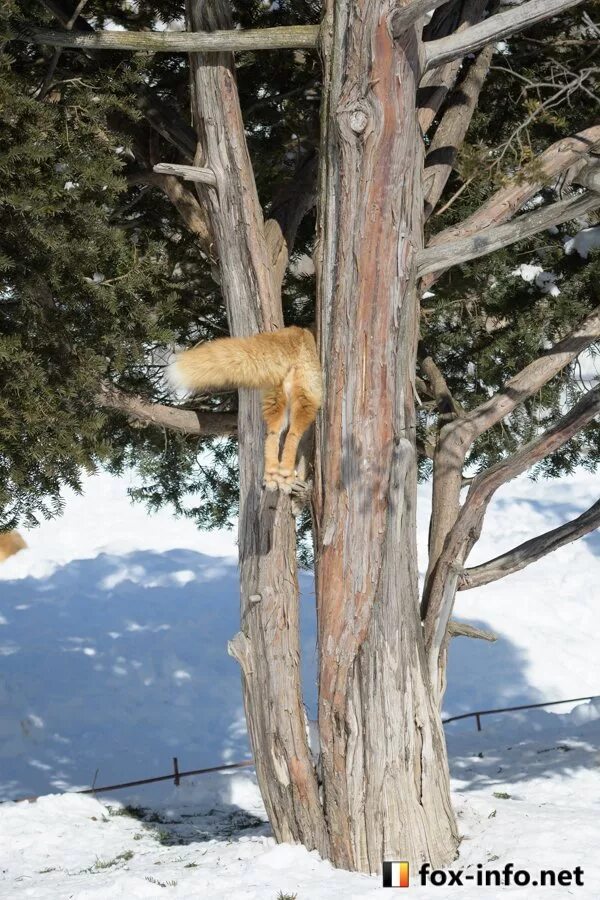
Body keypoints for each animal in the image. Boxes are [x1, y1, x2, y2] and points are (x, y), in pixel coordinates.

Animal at [170, 326, 324, 492]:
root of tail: (297, 332)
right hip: (305, 404)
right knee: (292, 436)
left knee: (272, 436)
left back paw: (272, 477)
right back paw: (285, 476)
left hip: (275, 403)